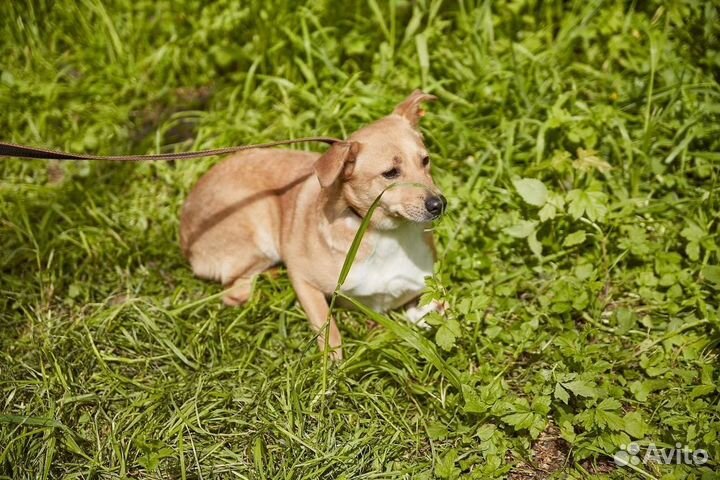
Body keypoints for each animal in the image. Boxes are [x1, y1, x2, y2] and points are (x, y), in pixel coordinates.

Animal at [180, 91, 444, 360]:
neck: (385, 234)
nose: (439, 204)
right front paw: (333, 363)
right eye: (390, 173)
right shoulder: (304, 280)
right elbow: (328, 329)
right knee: (236, 292)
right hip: (258, 229)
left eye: (425, 160)